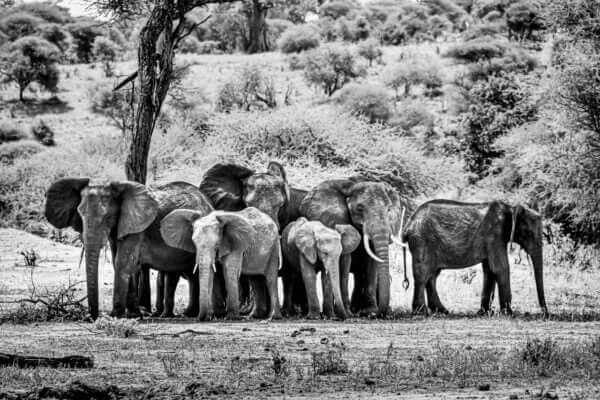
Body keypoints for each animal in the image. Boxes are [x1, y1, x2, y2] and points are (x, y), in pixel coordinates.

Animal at [44, 178, 213, 318]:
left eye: (107, 216)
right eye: (80, 214)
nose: (90, 317)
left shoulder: (137, 226)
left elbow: (123, 262)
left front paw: (115, 315)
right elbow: (119, 261)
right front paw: (134, 315)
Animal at [298, 177, 406, 318]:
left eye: (388, 209)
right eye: (359, 208)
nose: (377, 314)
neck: (351, 186)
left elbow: (372, 261)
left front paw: (370, 312)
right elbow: (345, 260)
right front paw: (353, 313)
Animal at [400, 199, 548, 316]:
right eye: (528, 233)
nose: (545, 314)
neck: (510, 208)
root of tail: (408, 225)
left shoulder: (493, 240)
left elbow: (490, 271)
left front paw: (485, 313)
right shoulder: (494, 236)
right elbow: (501, 268)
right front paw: (508, 313)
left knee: (432, 276)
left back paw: (442, 311)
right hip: (421, 241)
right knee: (422, 274)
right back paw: (421, 312)